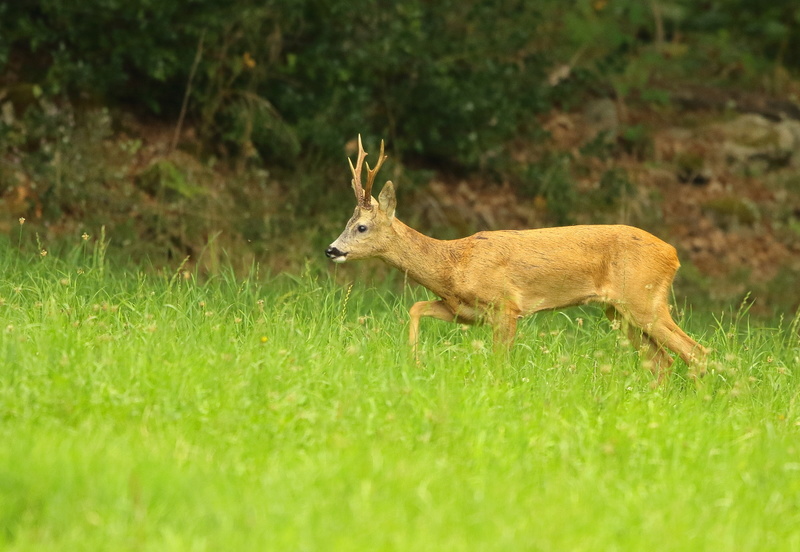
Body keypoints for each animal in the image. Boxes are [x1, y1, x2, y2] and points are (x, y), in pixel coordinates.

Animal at [324, 137, 708, 380]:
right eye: (346, 223)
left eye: (360, 226)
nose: (332, 249)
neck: (453, 265)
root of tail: (673, 254)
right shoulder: (464, 311)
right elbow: (416, 307)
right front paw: (415, 359)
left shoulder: (506, 306)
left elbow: (500, 361)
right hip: (618, 310)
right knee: (661, 360)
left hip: (643, 300)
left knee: (696, 352)